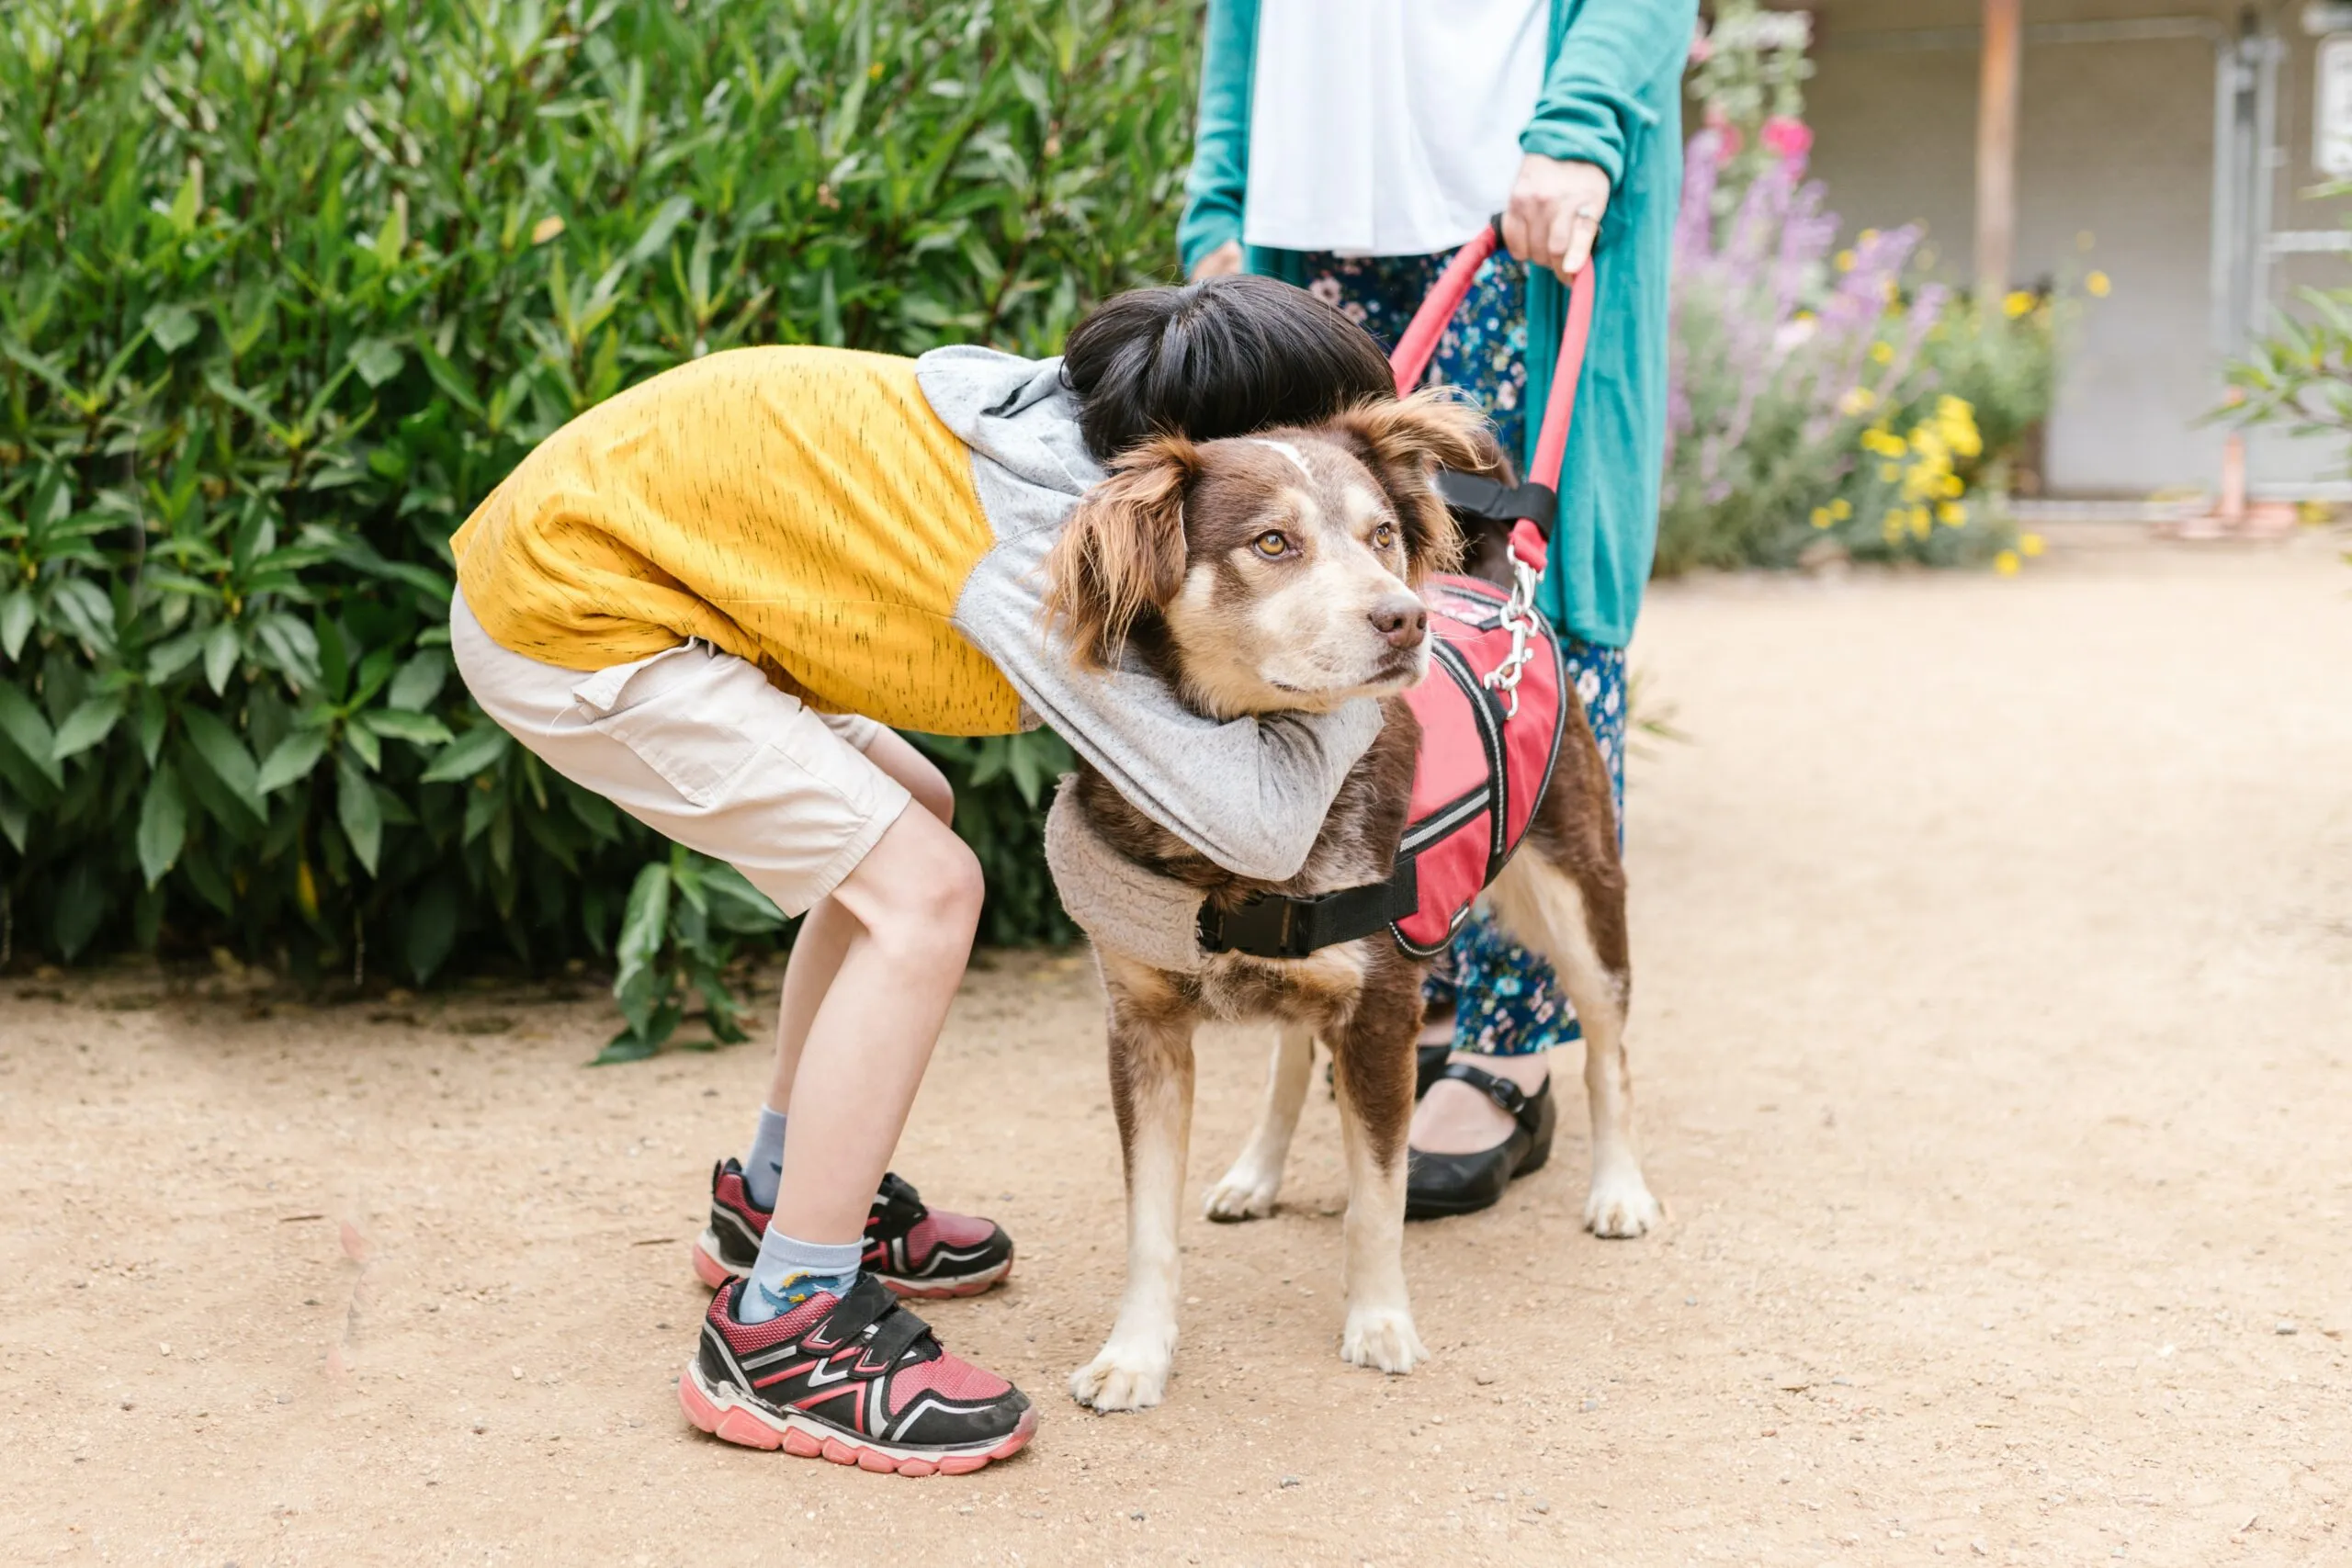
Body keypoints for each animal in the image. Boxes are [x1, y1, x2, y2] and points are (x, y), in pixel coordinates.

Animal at [1039, 389, 1665, 1410]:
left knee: (1607, 1049)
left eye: (1381, 536)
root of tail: (1496, 594)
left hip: (1581, 897)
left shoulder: (1381, 1012)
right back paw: (1254, 1173)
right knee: (1292, 1054)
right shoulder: (1142, 1026)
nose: (1404, 619)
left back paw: (1618, 1190)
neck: (1251, 804)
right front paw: (1135, 1354)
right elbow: (1147, 1224)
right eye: (1272, 542)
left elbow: (1379, 1198)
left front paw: (1379, 1324)